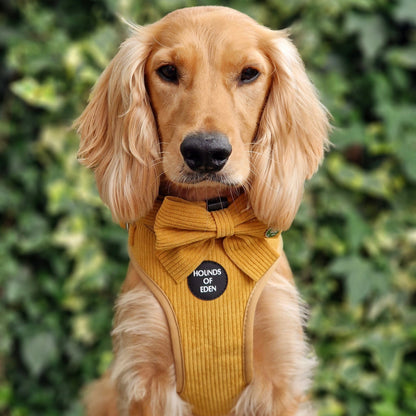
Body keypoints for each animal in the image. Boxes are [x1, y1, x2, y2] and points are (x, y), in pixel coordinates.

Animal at [74, 6, 328, 416]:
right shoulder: (146, 377)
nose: (206, 152)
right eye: (168, 71)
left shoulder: (279, 373)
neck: (207, 222)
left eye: (249, 73)